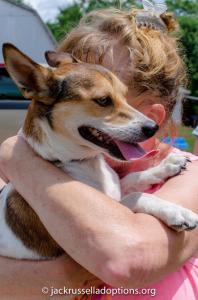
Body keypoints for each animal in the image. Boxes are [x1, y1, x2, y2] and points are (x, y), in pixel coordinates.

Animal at [0, 42, 198, 260]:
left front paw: (168, 165)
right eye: (103, 100)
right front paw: (177, 212)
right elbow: (135, 196)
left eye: (124, 95)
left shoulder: (116, 189)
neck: (84, 163)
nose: (153, 128)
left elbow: (132, 178)